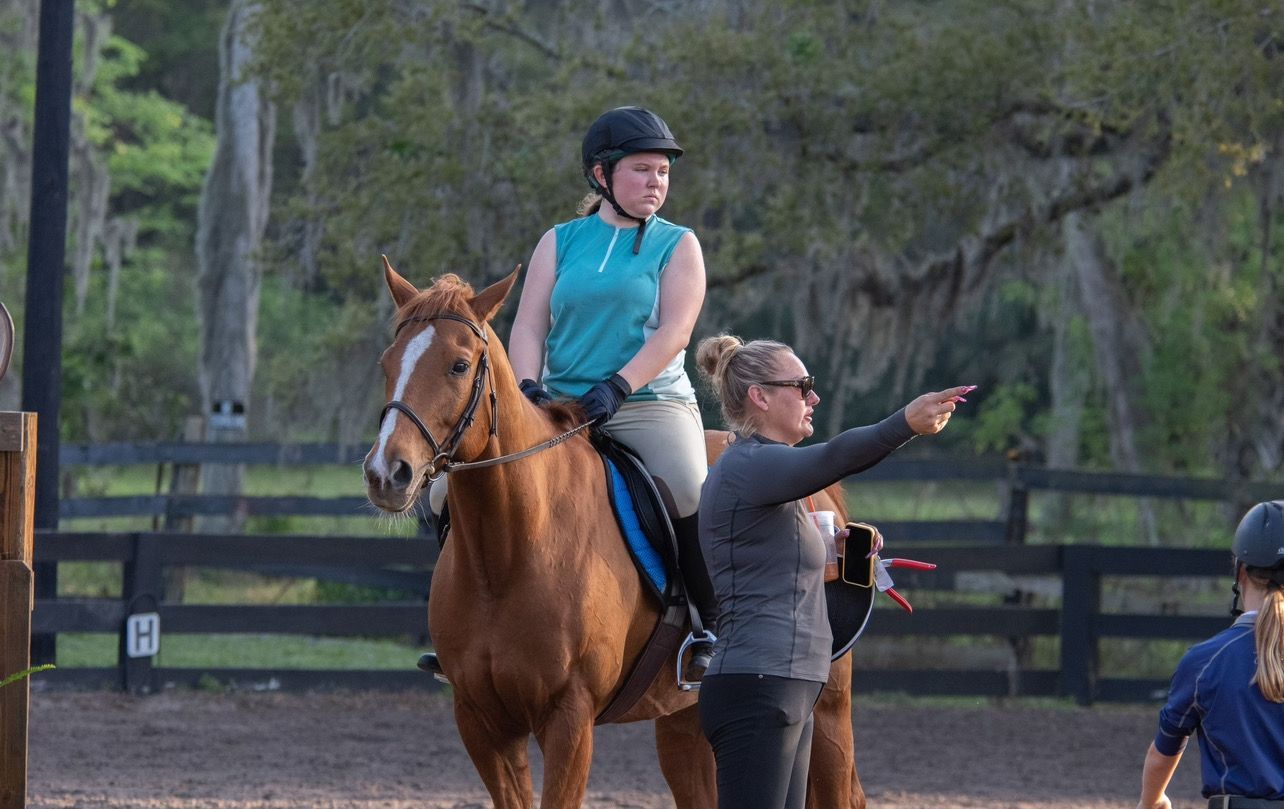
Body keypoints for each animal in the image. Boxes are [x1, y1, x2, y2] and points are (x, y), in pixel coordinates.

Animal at [363, 260, 866, 809]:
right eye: (387, 363)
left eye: (457, 366)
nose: (387, 473)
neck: (509, 552)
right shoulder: (481, 722)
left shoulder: (570, 718)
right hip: (684, 722)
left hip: (826, 708)